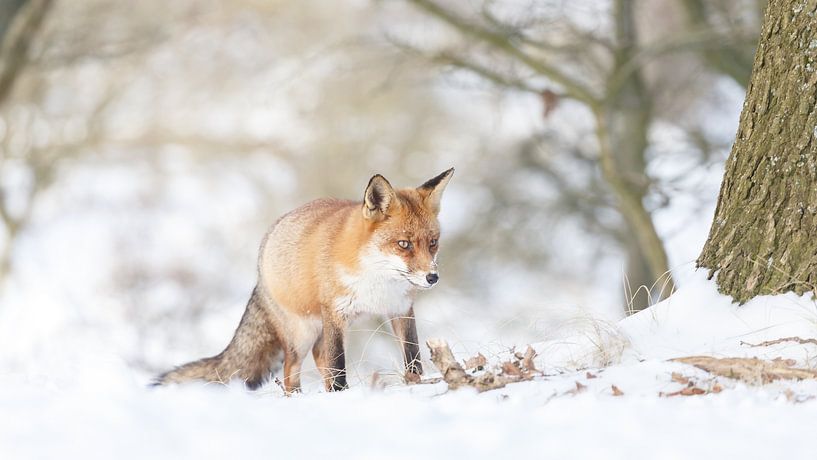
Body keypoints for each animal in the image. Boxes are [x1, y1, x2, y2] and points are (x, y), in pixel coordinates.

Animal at [155, 168, 454, 392]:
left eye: (433, 243)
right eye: (404, 244)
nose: (432, 277)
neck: (376, 279)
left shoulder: (400, 308)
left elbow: (413, 359)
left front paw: (415, 384)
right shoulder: (335, 312)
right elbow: (338, 366)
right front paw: (340, 395)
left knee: (319, 356)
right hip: (302, 334)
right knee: (292, 370)